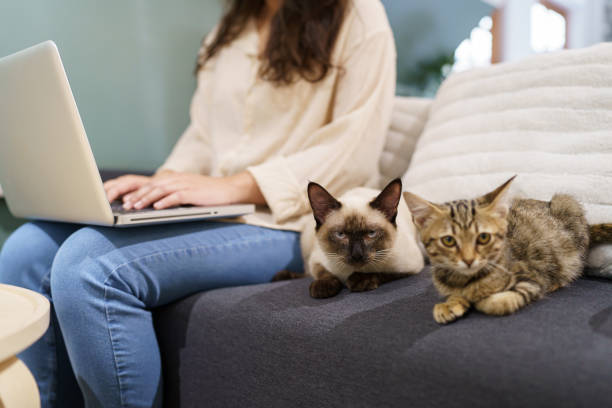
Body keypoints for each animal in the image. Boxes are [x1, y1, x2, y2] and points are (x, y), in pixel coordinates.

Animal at [404, 177, 608, 324]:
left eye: (483, 237)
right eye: (448, 240)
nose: (469, 260)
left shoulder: (532, 277)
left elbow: (501, 301)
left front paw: (482, 299)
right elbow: (455, 294)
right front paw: (449, 304)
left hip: (567, 205)